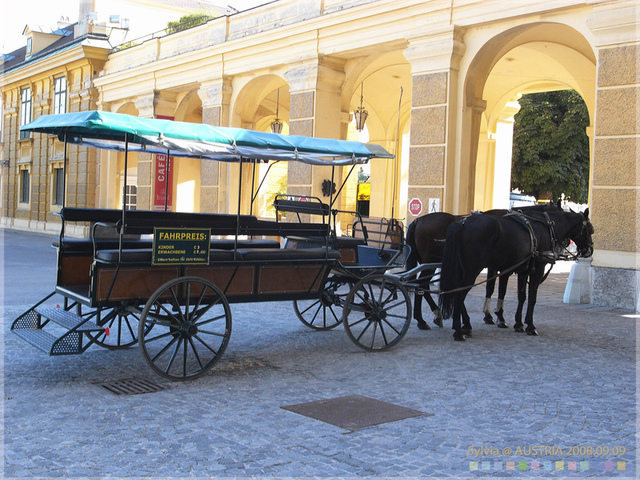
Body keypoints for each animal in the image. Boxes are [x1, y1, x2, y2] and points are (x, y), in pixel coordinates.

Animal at [440, 208, 596, 340]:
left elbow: (521, 297)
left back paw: (465, 325)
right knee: (459, 294)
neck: (547, 226)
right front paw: (530, 326)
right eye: (590, 229)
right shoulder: (537, 270)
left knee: (457, 292)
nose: (589, 251)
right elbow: (532, 298)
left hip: (463, 270)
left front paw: (519, 323)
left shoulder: (523, 271)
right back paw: (459, 330)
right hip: (472, 270)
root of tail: (463, 223)